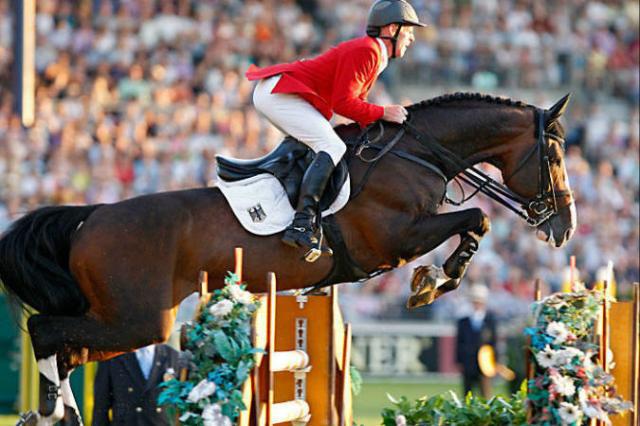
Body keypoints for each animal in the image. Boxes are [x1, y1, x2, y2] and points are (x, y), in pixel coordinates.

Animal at [0, 92, 575, 425]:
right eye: (553, 155)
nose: (564, 227)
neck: (417, 153)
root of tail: (90, 217)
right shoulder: (396, 238)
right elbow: (476, 219)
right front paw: (435, 281)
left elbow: (474, 221)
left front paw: (434, 279)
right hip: (139, 319)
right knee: (48, 332)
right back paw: (52, 413)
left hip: (123, 320)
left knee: (68, 349)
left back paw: (56, 412)